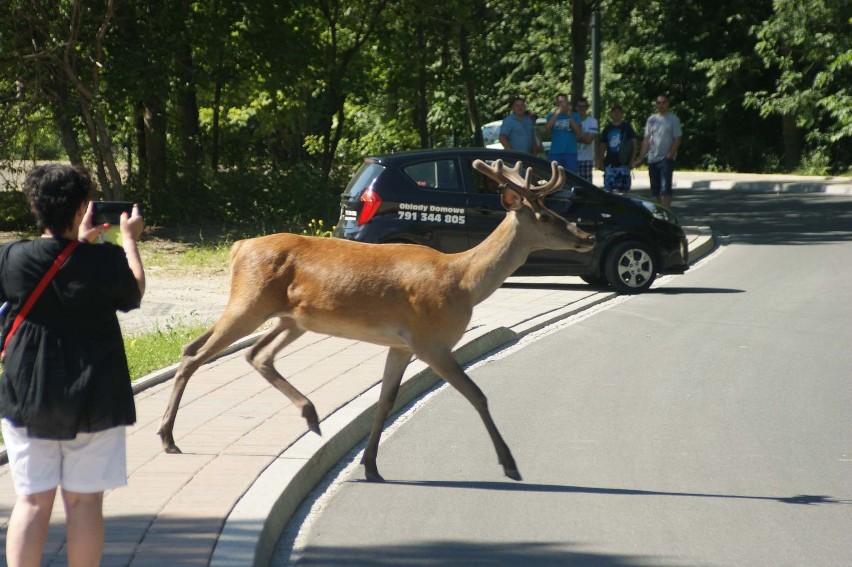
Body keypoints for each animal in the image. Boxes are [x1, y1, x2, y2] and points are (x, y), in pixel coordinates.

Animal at [156, 160, 588, 484]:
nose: (586, 234)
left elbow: (385, 400)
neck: (461, 282)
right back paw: (168, 438)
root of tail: (237, 247)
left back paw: (311, 416)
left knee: (244, 353)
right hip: (250, 301)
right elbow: (476, 394)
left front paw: (371, 466)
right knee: (196, 354)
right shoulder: (430, 341)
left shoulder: (401, 344)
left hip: (289, 317)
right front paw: (511, 465)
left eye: (558, 211)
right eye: (546, 214)